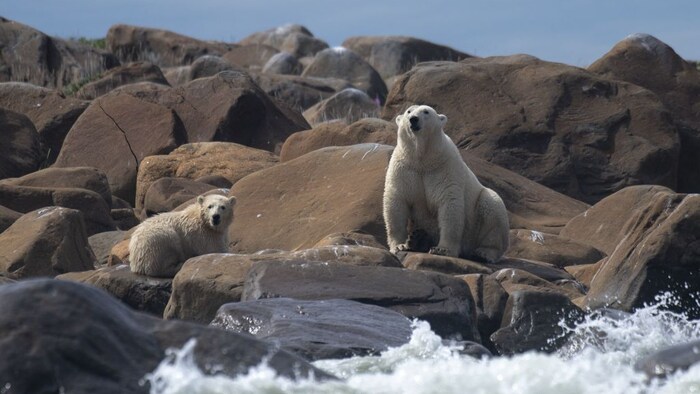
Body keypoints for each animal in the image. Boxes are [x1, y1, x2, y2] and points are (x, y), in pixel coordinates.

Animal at [382, 104, 508, 262]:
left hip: (478, 217)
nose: (413, 119)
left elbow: (449, 203)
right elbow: (396, 201)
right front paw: (400, 245)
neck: (423, 159)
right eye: (408, 111)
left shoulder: (444, 167)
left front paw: (442, 249)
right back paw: (418, 239)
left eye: (426, 111)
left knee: (492, 209)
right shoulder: (405, 168)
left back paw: (484, 253)